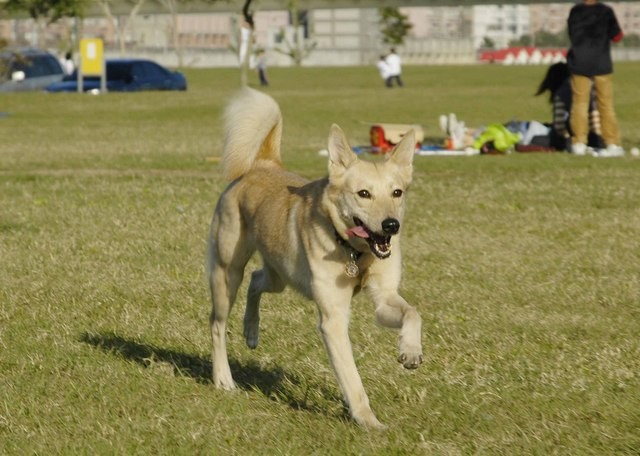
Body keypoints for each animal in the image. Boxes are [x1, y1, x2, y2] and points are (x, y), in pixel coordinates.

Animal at [208, 87, 422, 430]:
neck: (353, 251)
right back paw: (223, 380)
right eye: (363, 194)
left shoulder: (384, 297)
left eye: (397, 193)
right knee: (216, 324)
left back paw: (251, 330)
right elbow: (352, 378)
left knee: (256, 281)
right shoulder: (333, 319)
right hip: (227, 273)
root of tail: (262, 165)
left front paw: (411, 351)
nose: (391, 226)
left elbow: (413, 313)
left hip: (279, 276)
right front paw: (367, 421)